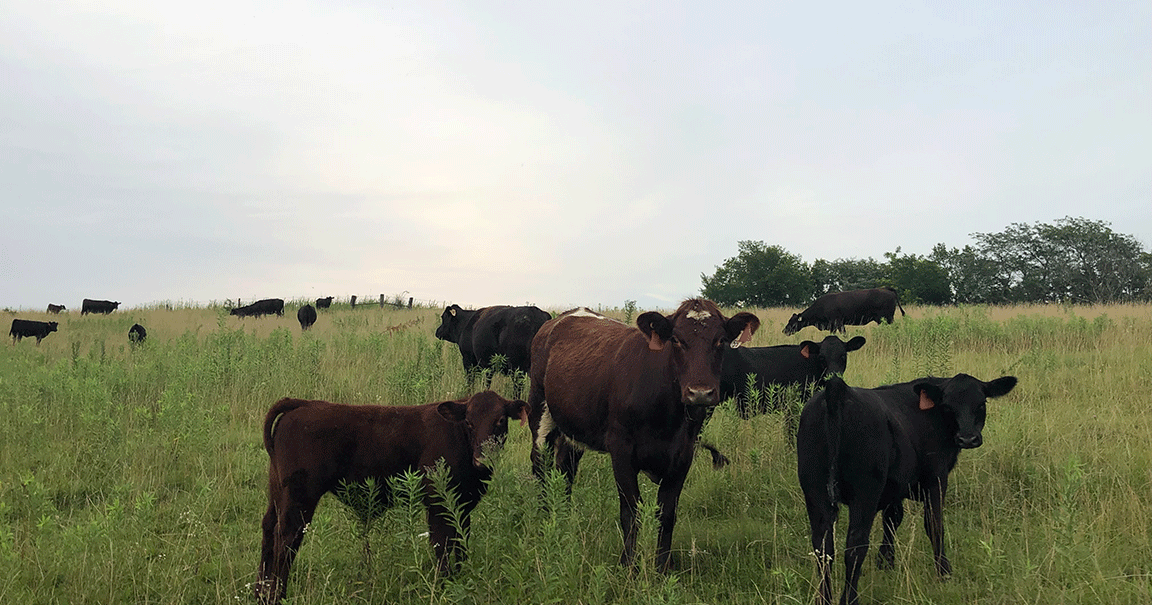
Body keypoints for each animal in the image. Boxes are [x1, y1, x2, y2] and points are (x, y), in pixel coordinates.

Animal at [255, 391, 529, 605]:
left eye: (500, 420)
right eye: (469, 423)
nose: (483, 459)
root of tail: (303, 404)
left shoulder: (463, 505)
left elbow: (461, 542)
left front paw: (461, 579)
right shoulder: (438, 503)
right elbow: (442, 544)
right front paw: (443, 585)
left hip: (277, 491)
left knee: (268, 529)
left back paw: (260, 593)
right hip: (300, 497)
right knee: (286, 538)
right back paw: (277, 596)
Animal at [527, 300, 760, 570]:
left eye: (721, 340)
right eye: (676, 340)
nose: (700, 393)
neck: (667, 417)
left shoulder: (684, 454)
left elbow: (667, 513)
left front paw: (663, 566)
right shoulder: (621, 451)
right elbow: (631, 510)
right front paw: (628, 564)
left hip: (574, 428)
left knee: (566, 469)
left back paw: (563, 517)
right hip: (539, 412)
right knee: (541, 466)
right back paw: (546, 519)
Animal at [797, 373, 1018, 605]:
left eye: (981, 403)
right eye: (947, 406)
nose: (968, 438)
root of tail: (838, 389)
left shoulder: (895, 487)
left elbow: (892, 519)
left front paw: (886, 562)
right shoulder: (936, 479)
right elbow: (934, 524)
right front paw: (944, 572)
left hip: (815, 491)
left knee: (823, 546)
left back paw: (824, 597)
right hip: (864, 493)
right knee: (855, 546)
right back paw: (850, 598)